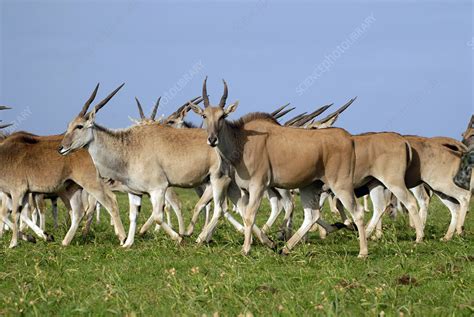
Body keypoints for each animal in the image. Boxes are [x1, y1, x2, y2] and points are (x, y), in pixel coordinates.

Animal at [189, 77, 366, 256]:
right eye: (204, 115)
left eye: (223, 116)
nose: (212, 139)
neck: (241, 142)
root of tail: (348, 138)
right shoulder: (241, 189)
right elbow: (243, 213)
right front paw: (266, 243)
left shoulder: (258, 186)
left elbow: (249, 215)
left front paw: (245, 249)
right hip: (308, 187)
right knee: (312, 215)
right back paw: (286, 248)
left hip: (340, 184)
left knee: (357, 212)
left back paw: (362, 252)